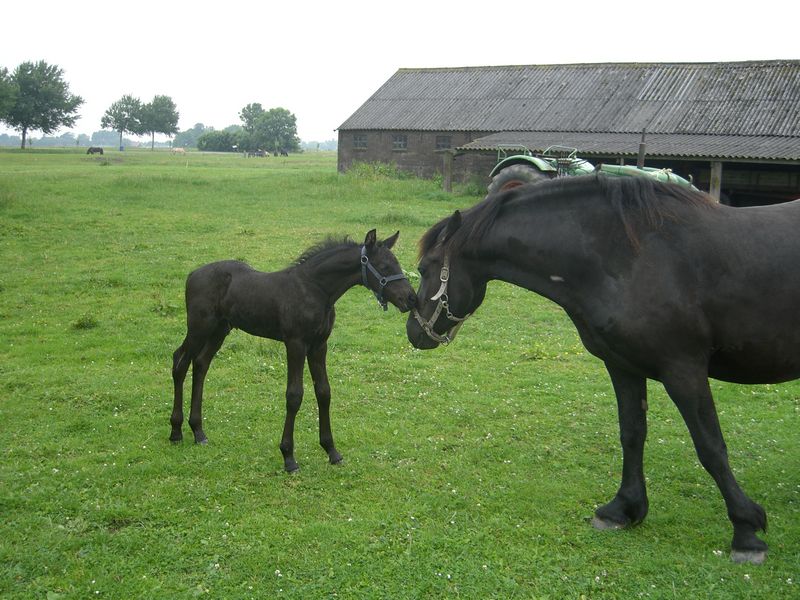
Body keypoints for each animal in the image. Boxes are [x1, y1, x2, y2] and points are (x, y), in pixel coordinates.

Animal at [406, 173, 800, 564]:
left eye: (425, 269)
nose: (414, 332)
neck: (629, 257)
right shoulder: (622, 365)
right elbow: (632, 433)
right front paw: (622, 509)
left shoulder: (683, 370)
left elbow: (711, 447)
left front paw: (746, 530)